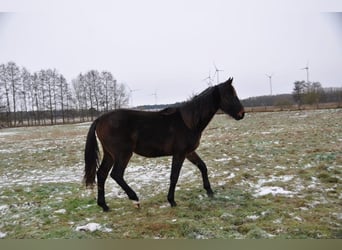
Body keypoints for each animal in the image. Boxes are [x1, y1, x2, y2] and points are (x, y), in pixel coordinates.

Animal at [84, 78, 244, 211]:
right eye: (229, 96)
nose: (242, 114)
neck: (188, 122)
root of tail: (100, 119)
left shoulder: (189, 152)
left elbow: (202, 167)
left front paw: (210, 192)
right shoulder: (179, 153)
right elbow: (174, 176)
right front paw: (171, 201)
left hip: (110, 154)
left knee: (102, 174)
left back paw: (104, 206)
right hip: (123, 154)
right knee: (116, 175)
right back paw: (135, 199)